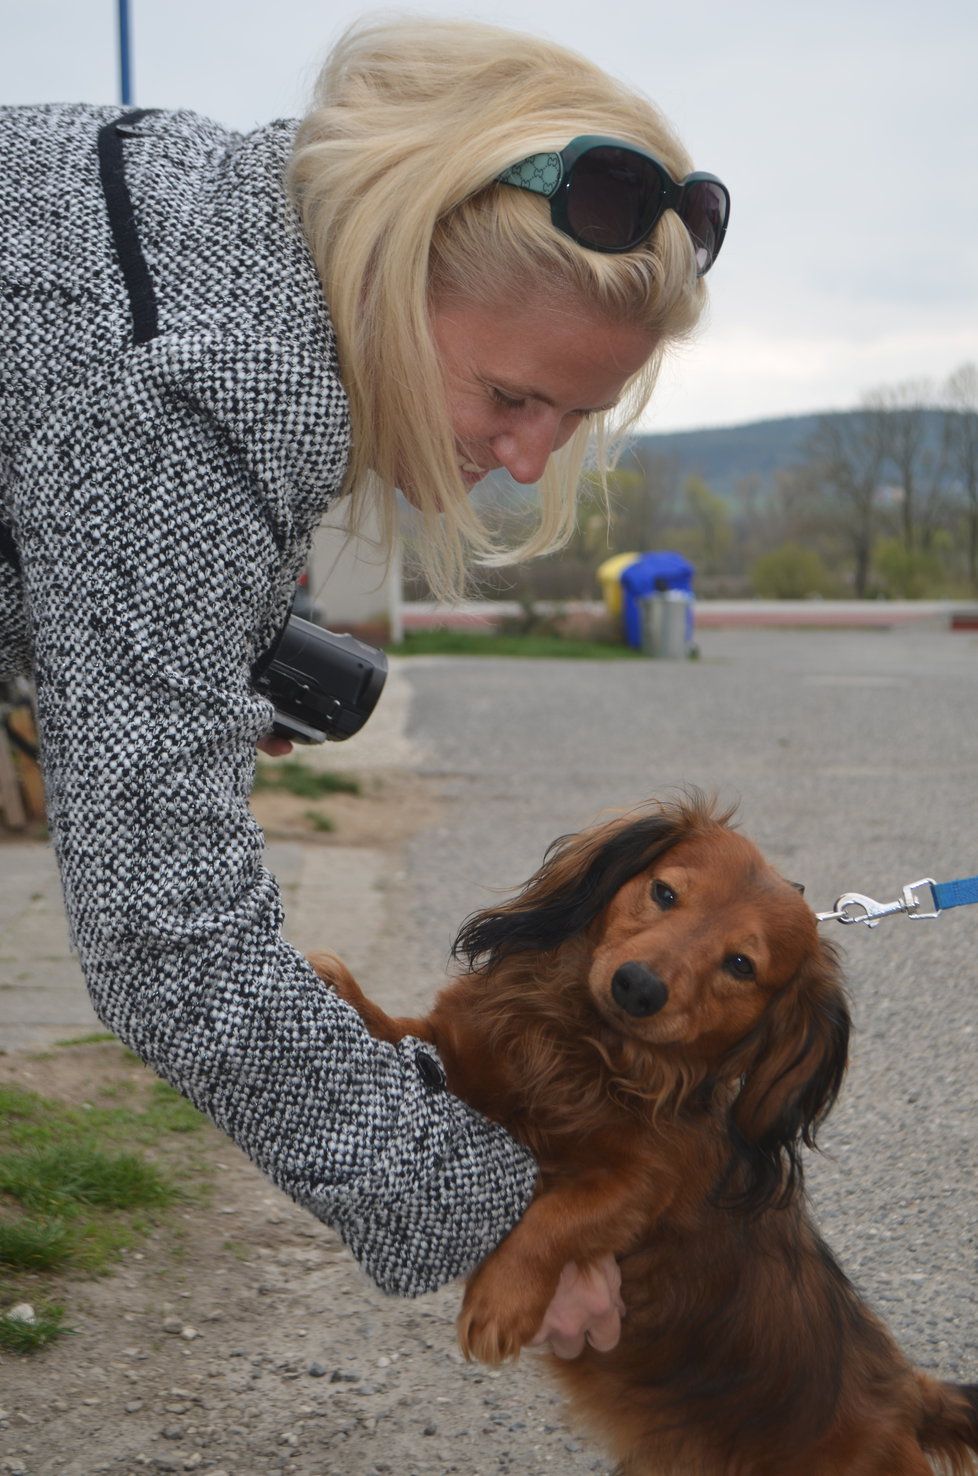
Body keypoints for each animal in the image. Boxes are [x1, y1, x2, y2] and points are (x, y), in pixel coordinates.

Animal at [309, 802, 973, 1470]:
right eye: (665, 893)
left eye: (741, 965)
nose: (637, 986)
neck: (583, 1051)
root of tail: (909, 1398)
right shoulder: (462, 1056)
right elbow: (401, 1032)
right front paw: (340, 987)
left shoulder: (639, 1187)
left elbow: (556, 1220)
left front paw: (500, 1302)